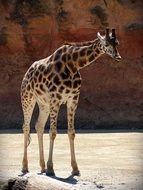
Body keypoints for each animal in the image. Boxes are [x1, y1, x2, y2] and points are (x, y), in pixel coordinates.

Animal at [20, 28, 121, 177]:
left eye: (117, 43)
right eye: (106, 44)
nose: (118, 57)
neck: (73, 64)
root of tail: (28, 71)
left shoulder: (73, 99)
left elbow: (71, 133)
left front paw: (75, 168)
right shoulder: (55, 98)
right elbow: (53, 132)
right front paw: (51, 169)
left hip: (44, 104)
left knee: (39, 126)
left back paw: (42, 166)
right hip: (28, 98)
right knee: (26, 127)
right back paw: (25, 166)